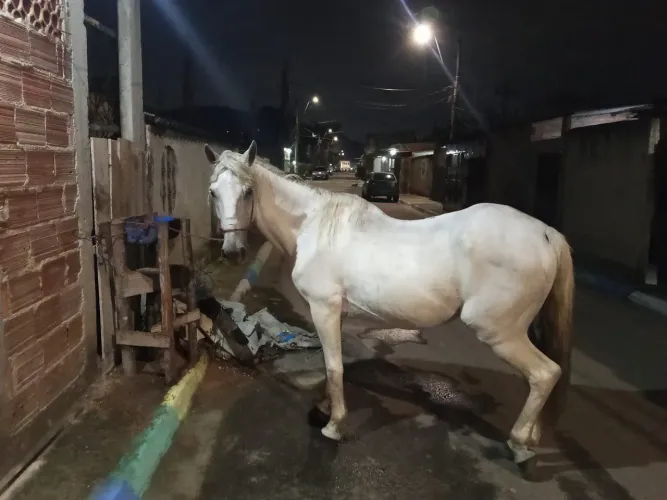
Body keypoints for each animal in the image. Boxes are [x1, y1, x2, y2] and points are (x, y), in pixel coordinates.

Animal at [205, 141, 574, 475]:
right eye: (213, 192)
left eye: (248, 192)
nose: (234, 252)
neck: (314, 227)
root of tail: (547, 233)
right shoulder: (334, 314)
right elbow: (331, 365)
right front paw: (325, 407)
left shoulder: (323, 309)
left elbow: (334, 367)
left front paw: (334, 425)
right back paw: (531, 437)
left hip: (499, 332)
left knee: (545, 374)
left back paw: (519, 444)